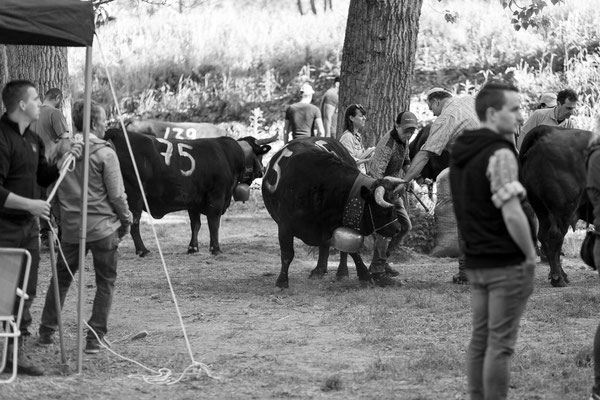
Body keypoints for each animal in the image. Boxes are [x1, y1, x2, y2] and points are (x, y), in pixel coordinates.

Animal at [104, 130, 270, 258]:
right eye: (260, 155)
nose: (263, 170)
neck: (229, 155)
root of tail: (117, 133)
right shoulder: (217, 196)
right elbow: (213, 223)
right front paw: (215, 249)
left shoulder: (193, 201)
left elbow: (195, 224)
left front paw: (193, 248)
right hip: (134, 197)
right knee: (134, 223)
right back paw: (142, 250)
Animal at [262, 138, 404, 288]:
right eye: (383, 210)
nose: (397, 228)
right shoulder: (284, 226)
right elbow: (287, 254)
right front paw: (282, 281)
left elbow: (351, 250)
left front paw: (364, 275)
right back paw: (319, 270)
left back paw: (339, 271)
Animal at [516, 126, 592, 286]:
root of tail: (548, 130)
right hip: (563, 208)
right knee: (555, 237)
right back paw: (558, 278)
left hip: (541, 208)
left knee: (544, 236)